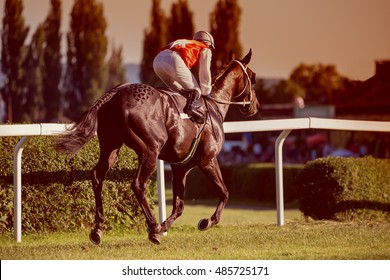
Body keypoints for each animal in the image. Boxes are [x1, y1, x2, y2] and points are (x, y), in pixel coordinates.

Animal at [54, 49, 258, 245]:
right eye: (253, 77)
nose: (254, 105)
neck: (214, 107)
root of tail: (114, 94)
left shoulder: (180, 167)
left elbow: (179, 205)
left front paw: (164, 226)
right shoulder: (208, 160)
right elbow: (224, 192)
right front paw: (205, 222)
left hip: (110, 146)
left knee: (97, 176)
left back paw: (98, 229)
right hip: (150, 151)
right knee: (138, 185)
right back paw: (152, 227)